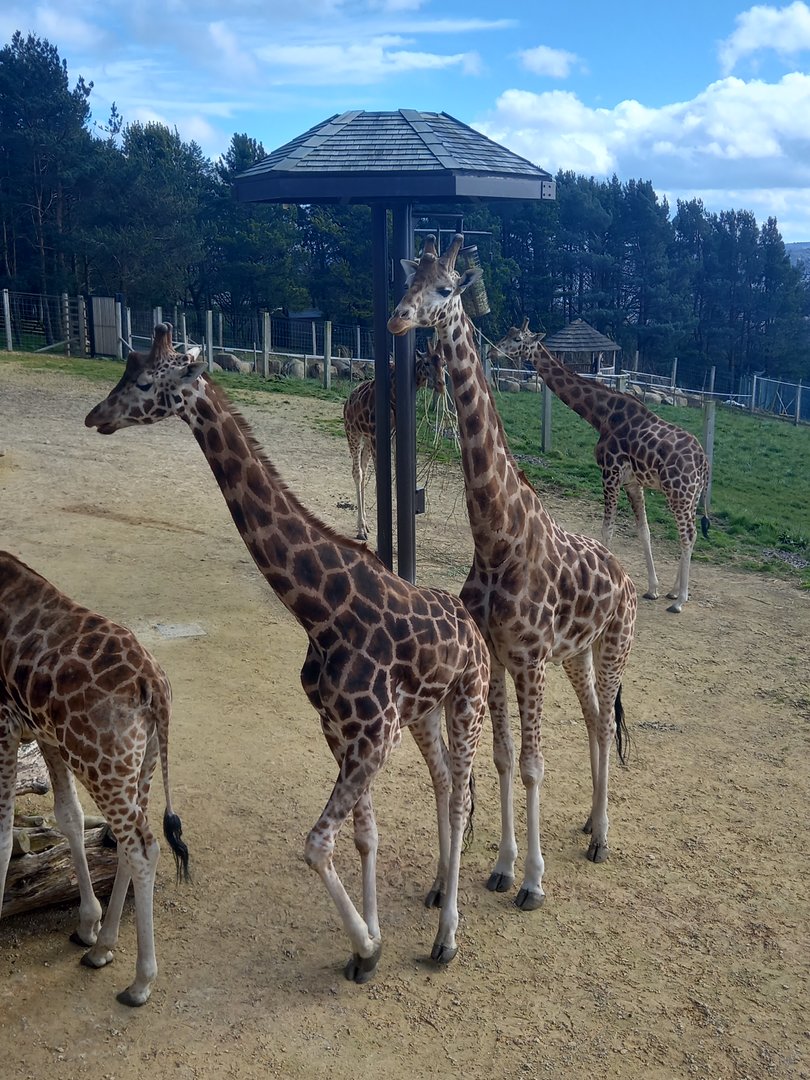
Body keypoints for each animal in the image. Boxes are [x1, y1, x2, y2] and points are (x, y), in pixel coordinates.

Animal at [0, 551, 189, 1006]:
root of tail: (155, 687)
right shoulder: (43, 733)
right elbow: (67, 815)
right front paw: (88, 924)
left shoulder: (3, 723)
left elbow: (3, 838)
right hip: (141, 762)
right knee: (129, 840)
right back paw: (102, 947)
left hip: (103, 763)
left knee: (142, 846)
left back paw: (140, 984)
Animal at [344, 342, 445, 540]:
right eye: (427, 362)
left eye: (444, 363)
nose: (441, 385)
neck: (394, 394)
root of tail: (348, 400)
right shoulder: (376, 436)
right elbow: (381, 478)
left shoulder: (393, 435)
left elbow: (397, 475)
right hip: (353, 433)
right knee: (357, 472)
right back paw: (361, 529)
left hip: (366, 441)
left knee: (363, 472)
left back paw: (366, 524)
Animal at [388, 236, 637, 910]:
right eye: (407, 279)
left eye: (446, 288)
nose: (398, 320)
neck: (497, 538)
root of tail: (627, 576)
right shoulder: (500, 657)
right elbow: (500, 758)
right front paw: (501, 867)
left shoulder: (528, 658)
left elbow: (531, 764)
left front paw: (532, 882)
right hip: (577, 654)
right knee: (593, 721)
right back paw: (590, 825)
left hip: (614, 646)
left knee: (604, 720)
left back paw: (603, 837)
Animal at [493, 321, 710, 613]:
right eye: (507, 333)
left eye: (517, 339)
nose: (493, 352)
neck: (601, 415)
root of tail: (703, 462)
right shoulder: (632, 482)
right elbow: (644, 531)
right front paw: (653, 589)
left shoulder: (610, 472)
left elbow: (606, 530)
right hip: (691, 495)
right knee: (689, 534)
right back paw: (673, 591)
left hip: (679, 492)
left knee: (688, 534)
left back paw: (680, 601)